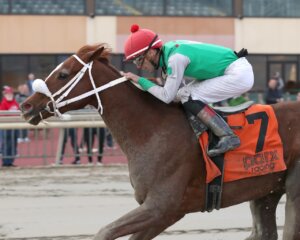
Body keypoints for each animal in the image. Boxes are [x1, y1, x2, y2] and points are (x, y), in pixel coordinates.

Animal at [20, 44, 300, 239]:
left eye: (63, 74)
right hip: (266, 190)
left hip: (293, 190)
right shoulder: (163, 213)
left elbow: (105, 232)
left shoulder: (162, 207)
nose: (26, 106)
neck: (151, 131)